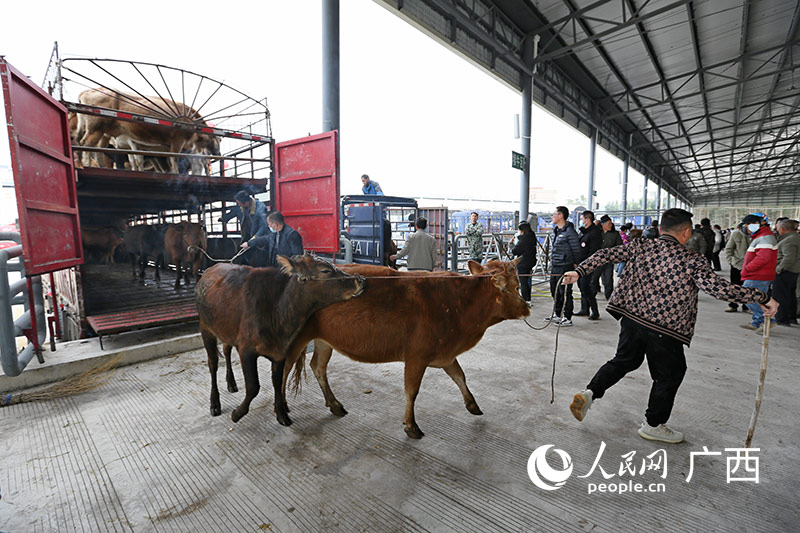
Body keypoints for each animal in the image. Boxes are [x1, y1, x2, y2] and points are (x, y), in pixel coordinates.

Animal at [197, 256, 366, 426]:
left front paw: (281, 414)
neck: (277, 310)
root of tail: (211, 269)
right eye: (325, 270)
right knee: (213, 364)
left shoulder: (280, 351)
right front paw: (237, 413)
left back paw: (231, 383)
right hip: (206, 329)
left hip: (226, 330)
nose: (360, 279)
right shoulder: (246, 350)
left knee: (226, 350)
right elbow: (253, 387)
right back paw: (215, 403)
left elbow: (278, 382)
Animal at [284, 258, 528, 436]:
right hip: (293, 341)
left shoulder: (445, 354)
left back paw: (334, 404)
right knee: (284, 370)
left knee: (318, 367)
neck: (459, 303)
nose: (527, 308)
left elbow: (460, 376)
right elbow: (412, 390)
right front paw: (411, 425)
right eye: (516, 287)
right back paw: (283, 410)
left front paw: (472, 404)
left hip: (324, 341)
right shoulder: (416, 357)